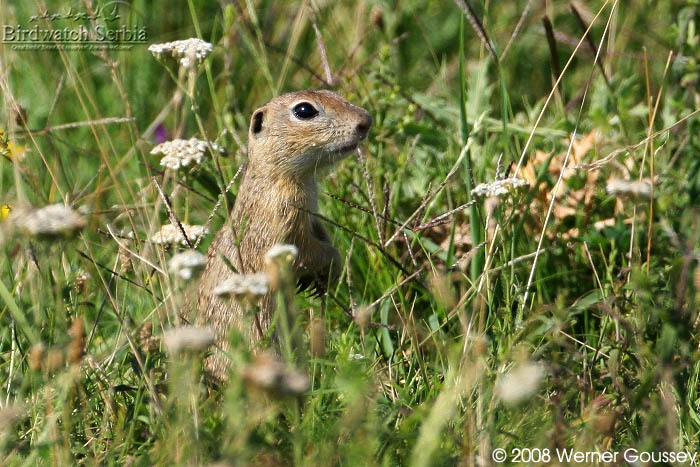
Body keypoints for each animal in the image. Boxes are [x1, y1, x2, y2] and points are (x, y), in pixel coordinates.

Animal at [197, 88, 372, 380]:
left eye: (333, 93)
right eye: (304, 110)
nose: (366, 121)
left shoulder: (312, 215)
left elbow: (322, 234)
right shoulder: (282, 221)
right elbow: (307, 252)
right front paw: (331, 266)